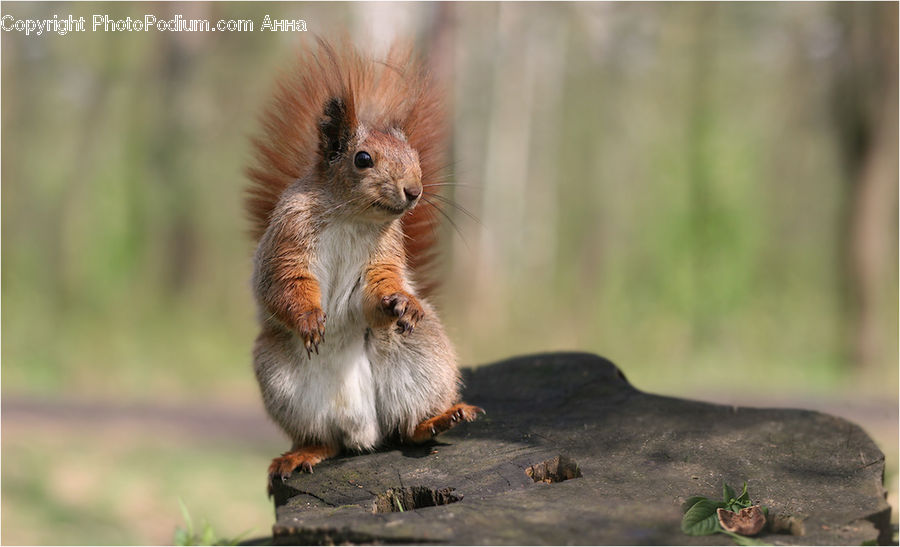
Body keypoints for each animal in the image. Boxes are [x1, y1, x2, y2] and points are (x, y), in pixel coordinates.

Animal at [245, 38, 484, 492]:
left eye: (414, 154)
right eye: (362, 159)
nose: (415, 191)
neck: (351, 216)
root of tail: (363, 431)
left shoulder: (384, 258)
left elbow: (378, 288)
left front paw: (399, 301)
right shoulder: (287, 241)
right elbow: (284, 284)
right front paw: (309, 317)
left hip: (420, 356)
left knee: (404, 430)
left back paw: (437, 419)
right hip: (281, 380)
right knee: (327, 441)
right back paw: (301, 454)